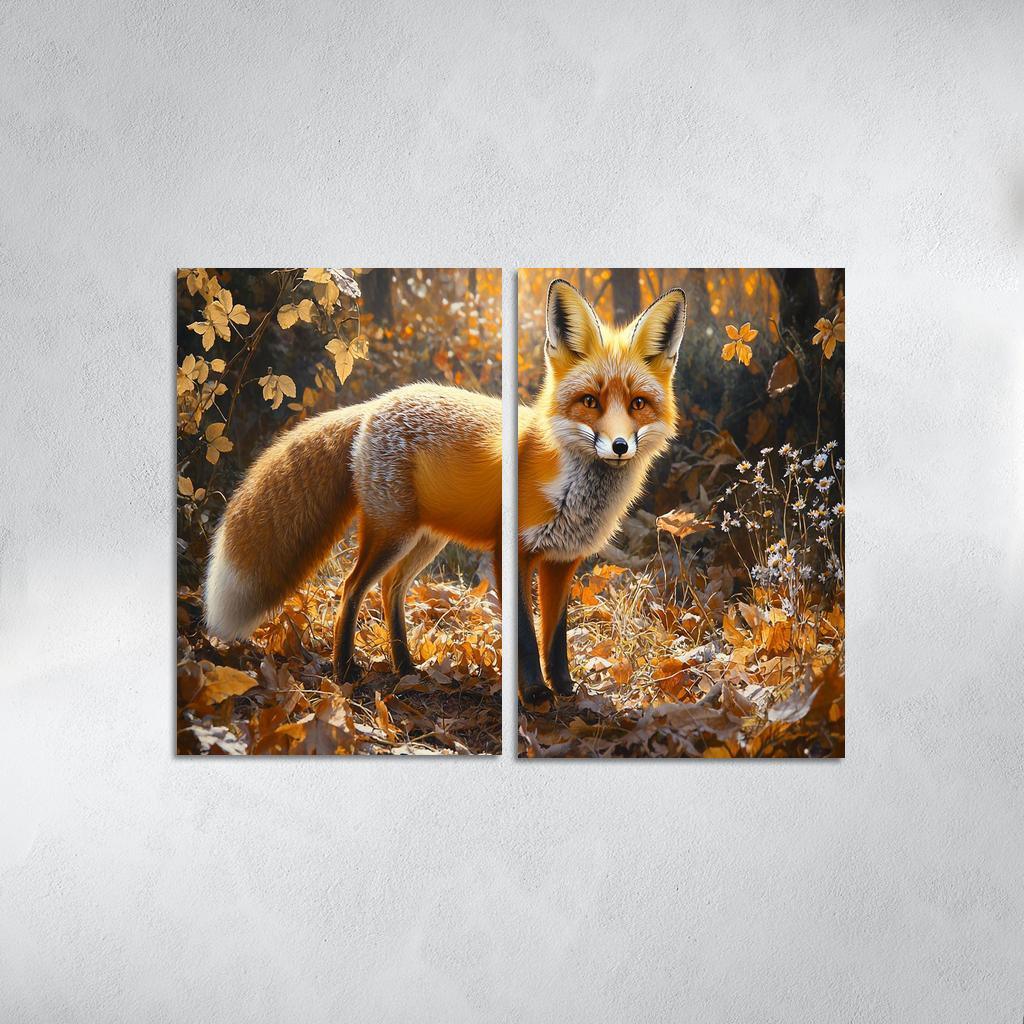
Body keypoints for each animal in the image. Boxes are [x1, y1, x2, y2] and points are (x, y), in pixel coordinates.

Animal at [204, 278, 683, 708]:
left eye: (638, 404)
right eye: (590, 402)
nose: (619, 446)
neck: (573, 490)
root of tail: (374, 405)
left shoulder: (563, 560)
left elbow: (555, 635)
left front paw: (564, 689)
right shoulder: (512, 552)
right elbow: (526, 636)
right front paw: (533, 695)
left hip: (424, 539)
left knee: (391, 588)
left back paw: (405, 666)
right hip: (392, 532)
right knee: (350, 588)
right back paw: (345, 670)